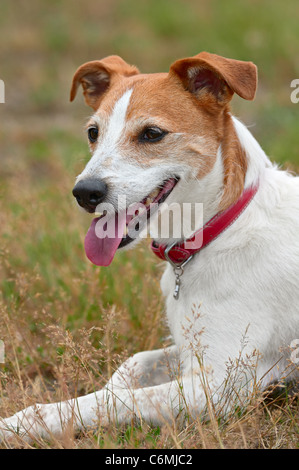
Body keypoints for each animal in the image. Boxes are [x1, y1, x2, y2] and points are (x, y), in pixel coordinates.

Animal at [0, 53, 299, 442]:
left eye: (152, 134)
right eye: (93, 133)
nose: (84, 193)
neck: (222, 228)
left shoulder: (221, 383)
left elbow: (113, 402)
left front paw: (22, 424)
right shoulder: (187, 353)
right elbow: (131, 366)